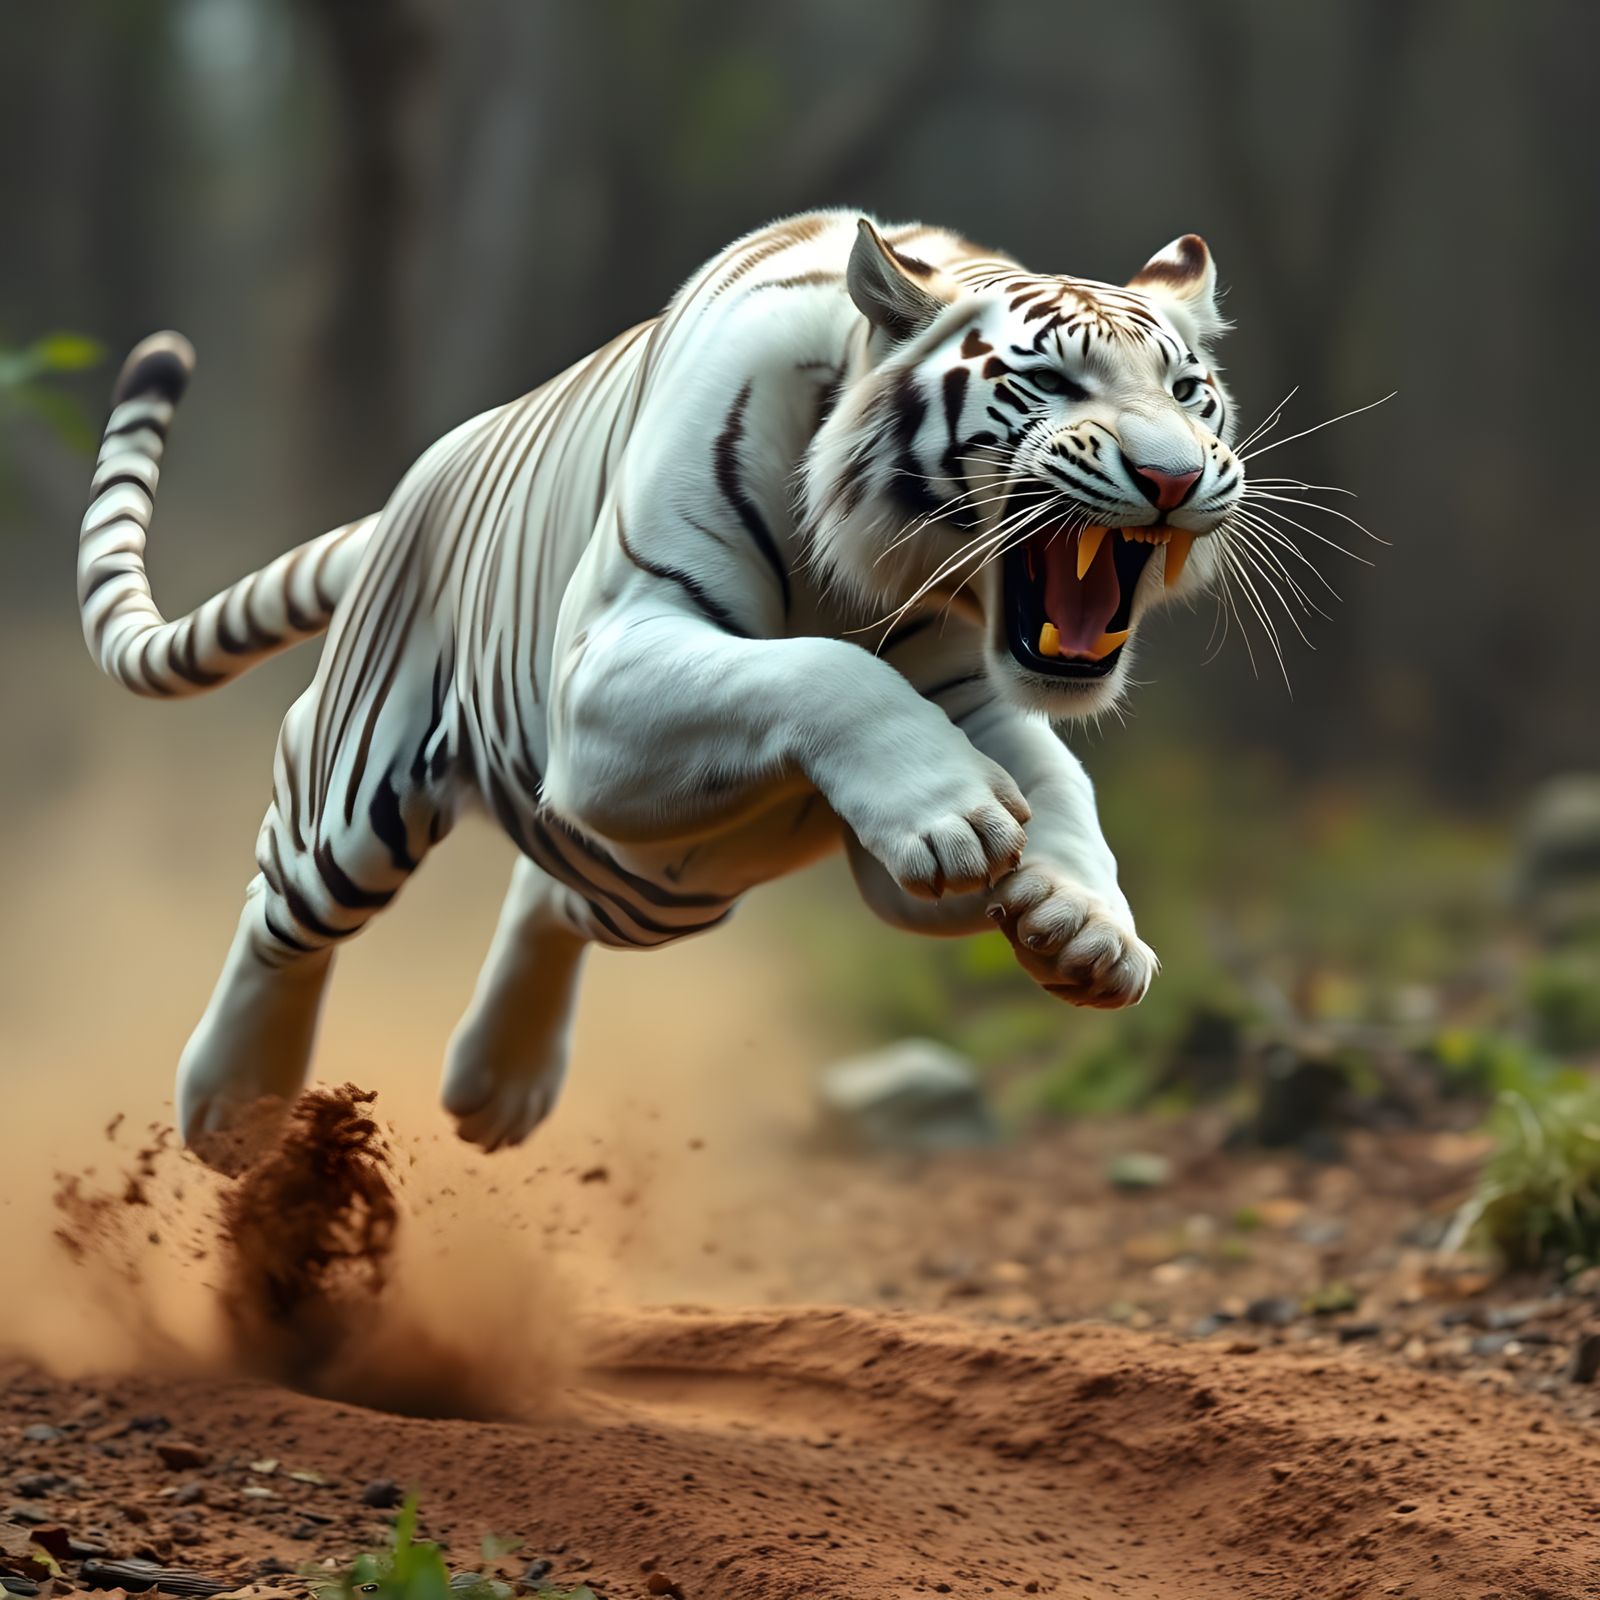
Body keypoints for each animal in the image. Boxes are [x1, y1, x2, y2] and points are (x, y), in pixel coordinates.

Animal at [76, 210, 1244, 1156]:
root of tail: (418, 483)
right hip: (360, 796)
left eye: (1189, 394)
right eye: (1052, 384)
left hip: (664, 882)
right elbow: (824, 672)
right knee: (283, 905)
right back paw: (231, 1102)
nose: (1173, 476)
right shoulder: (608, 664)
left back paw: (498, 1083)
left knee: (551, 887)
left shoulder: (979, 693)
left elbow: (1058, 783)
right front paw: (956, 817)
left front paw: (1079, 919)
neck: (861, 572)